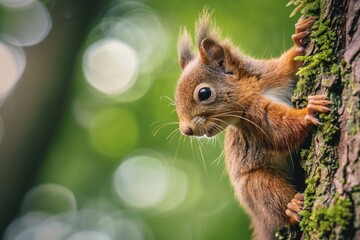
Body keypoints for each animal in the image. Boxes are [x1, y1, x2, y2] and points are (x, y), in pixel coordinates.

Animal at [174, 10, 332, 239]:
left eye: (204, 93)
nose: (186, 130)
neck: (257, 89)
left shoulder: (273, 73)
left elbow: (290, 64)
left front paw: (300, 36)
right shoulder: (255, 120)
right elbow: (281, 131)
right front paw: (308, 112)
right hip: (255, 185)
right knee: (270, 199)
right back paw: (292, 206)